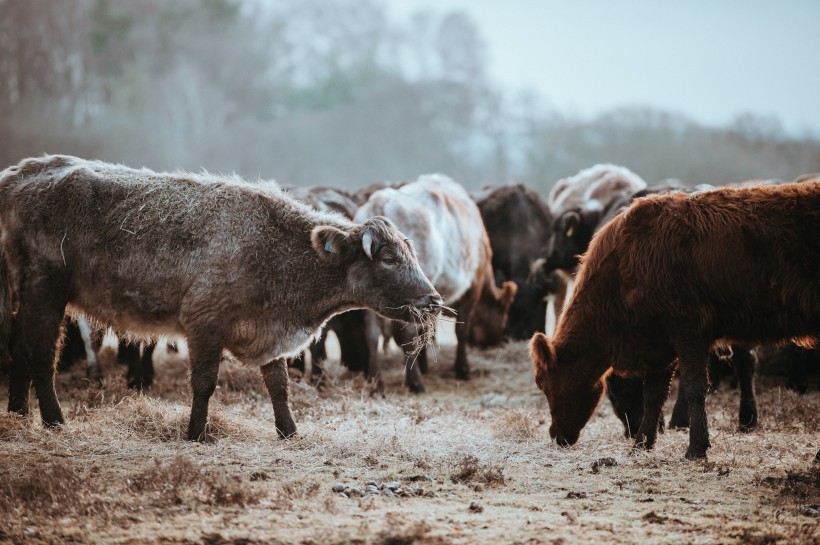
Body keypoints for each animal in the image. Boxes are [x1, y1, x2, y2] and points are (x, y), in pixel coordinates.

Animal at [0, 155, 442, 440]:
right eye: (388, 258)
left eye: (410, 253)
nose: (433, 300)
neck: (275, 250)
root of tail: (21, 172)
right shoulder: (205, 325)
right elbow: (204, 384)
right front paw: (197, 433)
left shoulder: (269, 333)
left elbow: (278, 384)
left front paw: (289, 430)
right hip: (45, 292)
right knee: (40, 355)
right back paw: (54, 421)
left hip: (25, 295)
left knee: (19, 349)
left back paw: (18, 414)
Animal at [356, 174, 516, 392]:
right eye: (504, 312)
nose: (498, 341)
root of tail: (380, 202)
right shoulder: (472, 286)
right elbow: (461, 329)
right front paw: (462, 369)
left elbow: (426, 331)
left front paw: (424, 365)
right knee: (406, 333)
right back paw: (415, 382)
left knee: (371, 334)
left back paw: (375, 383)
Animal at [532, 181, 820, 456]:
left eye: (543, 383)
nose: (556, 435)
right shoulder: (659, 342)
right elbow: (655, 394)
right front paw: (642, 443)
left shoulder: (689, 330)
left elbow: (694, 386)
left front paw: (696, 447)